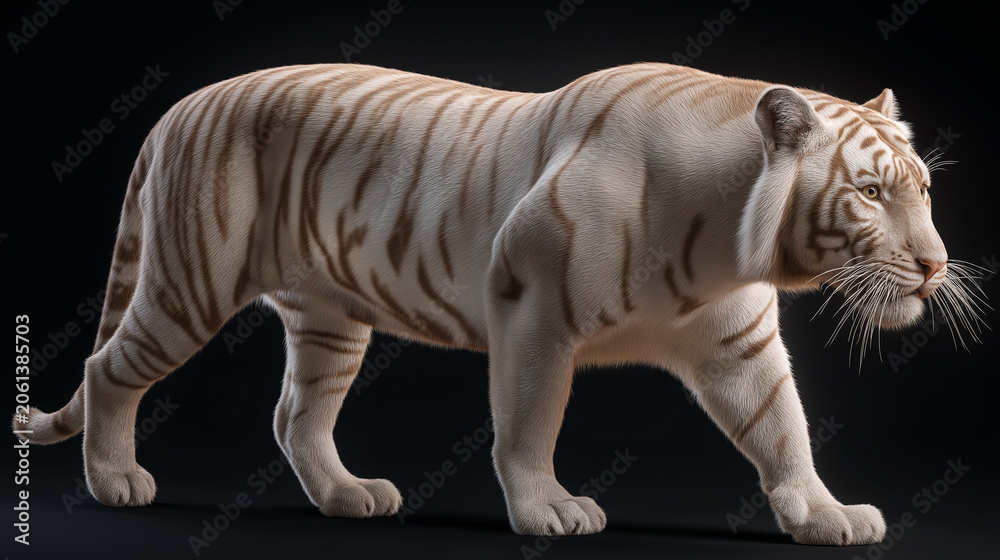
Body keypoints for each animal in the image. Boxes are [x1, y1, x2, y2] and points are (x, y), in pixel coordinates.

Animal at [14, 62, 983, 546]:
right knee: (108, 367)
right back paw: (115, 482)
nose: (935, 267)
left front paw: (825, 516)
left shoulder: (737, 342)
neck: (723, 237)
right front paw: (548, 511)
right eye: (868, 193)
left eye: (927, 191)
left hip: (327, 317)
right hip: (191, 282)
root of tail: (180, 104)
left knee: (296, 414)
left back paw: (348, 495)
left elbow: (783, 428)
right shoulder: (533, 313)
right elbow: (529, 422)